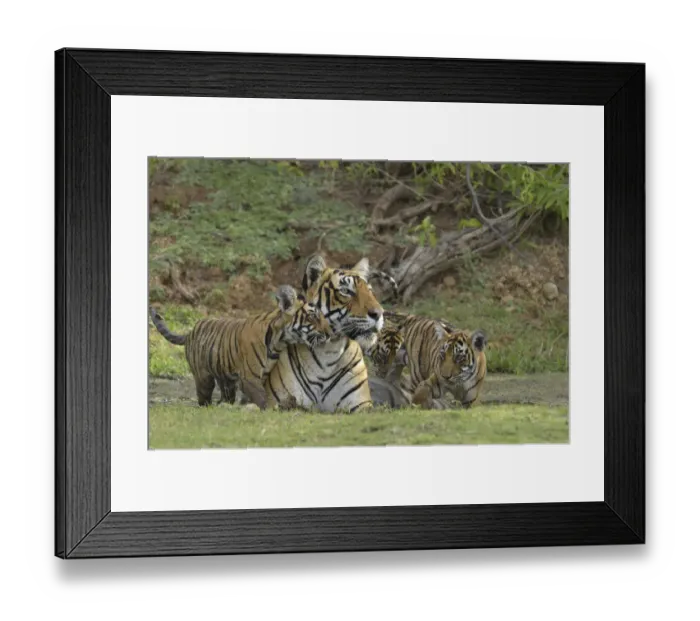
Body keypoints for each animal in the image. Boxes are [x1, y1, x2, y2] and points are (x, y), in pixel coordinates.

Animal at [149, 285, 332, 407]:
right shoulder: (249, 378)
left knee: (225, 397)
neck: (279, 341)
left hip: (225, 377)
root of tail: (189, 332)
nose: (330, 332)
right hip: (203, 378)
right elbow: (262, 399)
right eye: (313, 316)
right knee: (204, 398)